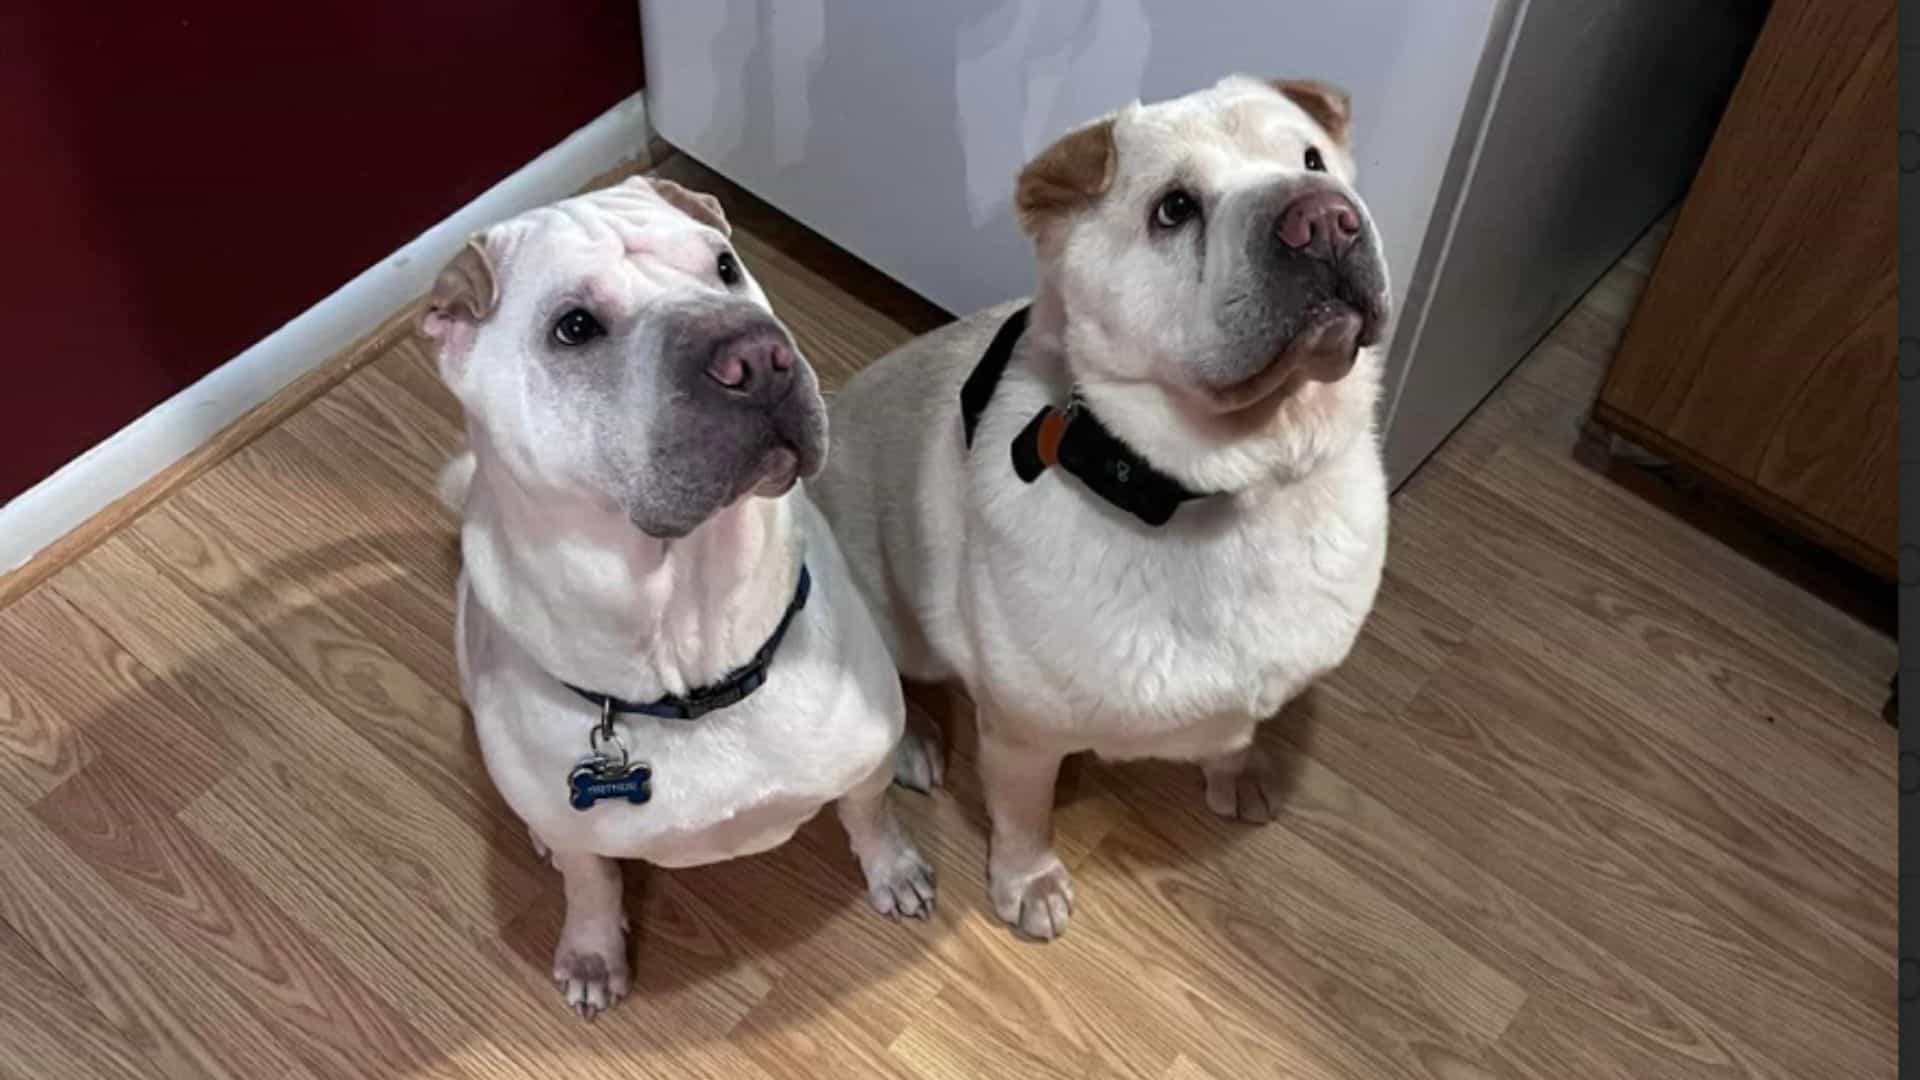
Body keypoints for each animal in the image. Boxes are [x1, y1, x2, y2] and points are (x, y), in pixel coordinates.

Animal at [420, 171, 936, 1014]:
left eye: (724, 265)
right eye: (573, 327)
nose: (759, 357)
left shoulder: (860, 766)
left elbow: (870, 814)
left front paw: (894, 869)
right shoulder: (584, 840)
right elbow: (590, 885)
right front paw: (593, 952)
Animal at [814, 75, 1397, 937]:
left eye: (1313, 160)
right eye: (1174, 209)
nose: (1324, 217)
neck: (1237, 484)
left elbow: (1233, 737)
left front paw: (1238, 773)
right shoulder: (1023, 733)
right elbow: (1024, 816)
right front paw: (1028, 885)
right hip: (887, 613)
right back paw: (913, 744)